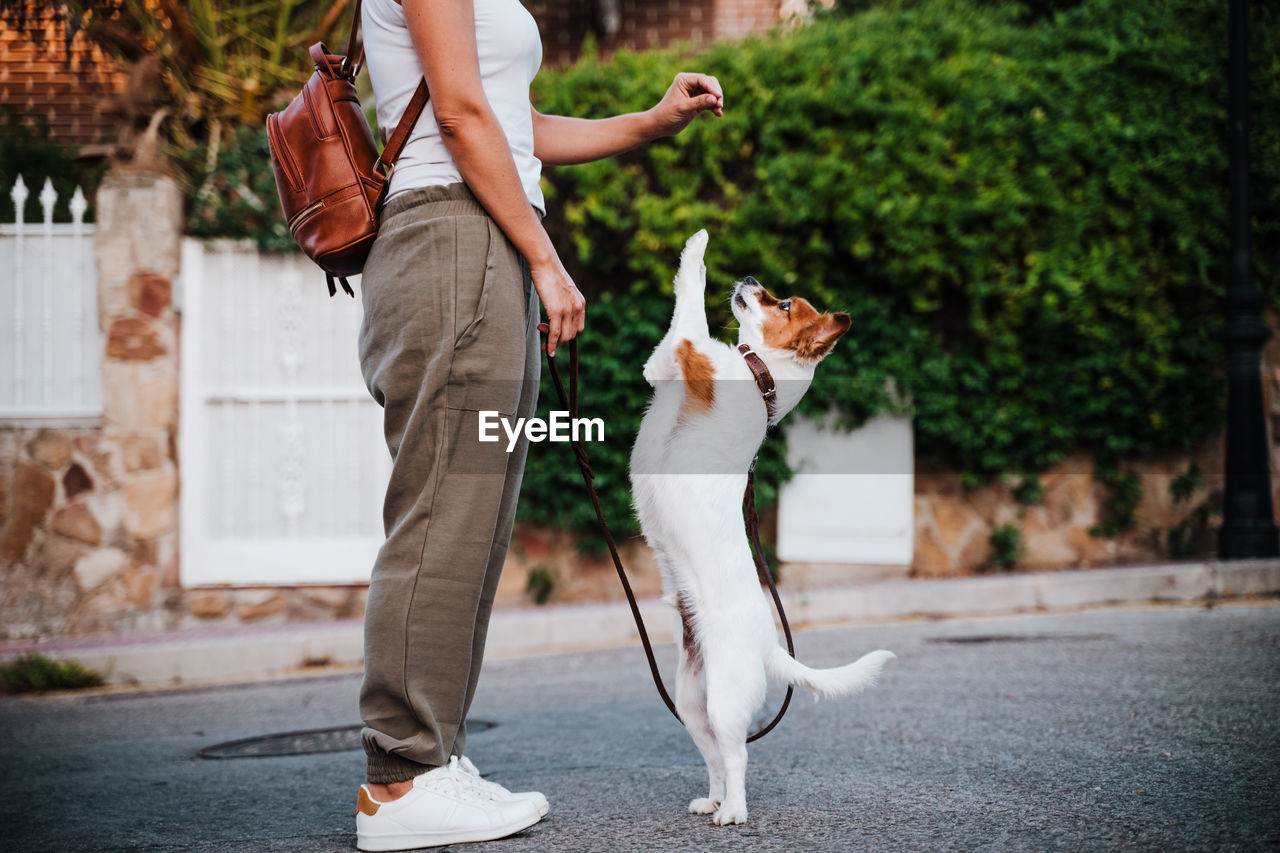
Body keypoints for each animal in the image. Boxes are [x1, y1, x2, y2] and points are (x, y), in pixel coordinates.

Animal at [627, 227, 890, 824]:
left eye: (783, 303)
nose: (748, 277)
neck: (759, 377)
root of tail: (769, 645)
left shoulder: (686, 348)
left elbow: (690, 292)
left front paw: (698, 243)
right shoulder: (664, 365)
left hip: (724, 702)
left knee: (738, 758)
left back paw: (734, 812)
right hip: (692, 702)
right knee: (717, 760)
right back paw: (714, 800)